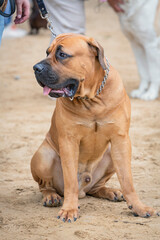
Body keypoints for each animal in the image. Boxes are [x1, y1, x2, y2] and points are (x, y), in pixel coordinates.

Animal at [30, 32, 158, 222]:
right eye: (47, 52)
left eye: (62, 55)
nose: (35, 68)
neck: (92, 99)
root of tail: (83, 190)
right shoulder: (69, 141)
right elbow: (70, 181)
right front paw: (69, 209)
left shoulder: (121, 140)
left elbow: (127, 180)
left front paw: (139, 207)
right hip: (43, 155)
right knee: (46, 185)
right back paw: (51, 196)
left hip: (111, 155)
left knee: (96, 187)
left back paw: (110, 191)